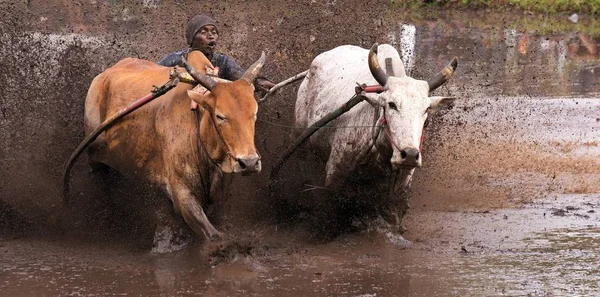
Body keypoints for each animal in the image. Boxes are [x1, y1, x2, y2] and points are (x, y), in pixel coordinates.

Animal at [80, 49, 264, 240]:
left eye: (254, 113)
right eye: (219, 116)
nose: (249, 163)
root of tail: (101, 77)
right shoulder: (183, 195)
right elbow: (212, 234)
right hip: (96, 158)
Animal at [294, 42, 454, 231]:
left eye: (426, 109)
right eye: (391, 104)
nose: (410, 155)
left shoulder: (402, 182)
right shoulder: (335, 170)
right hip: (300, 140)